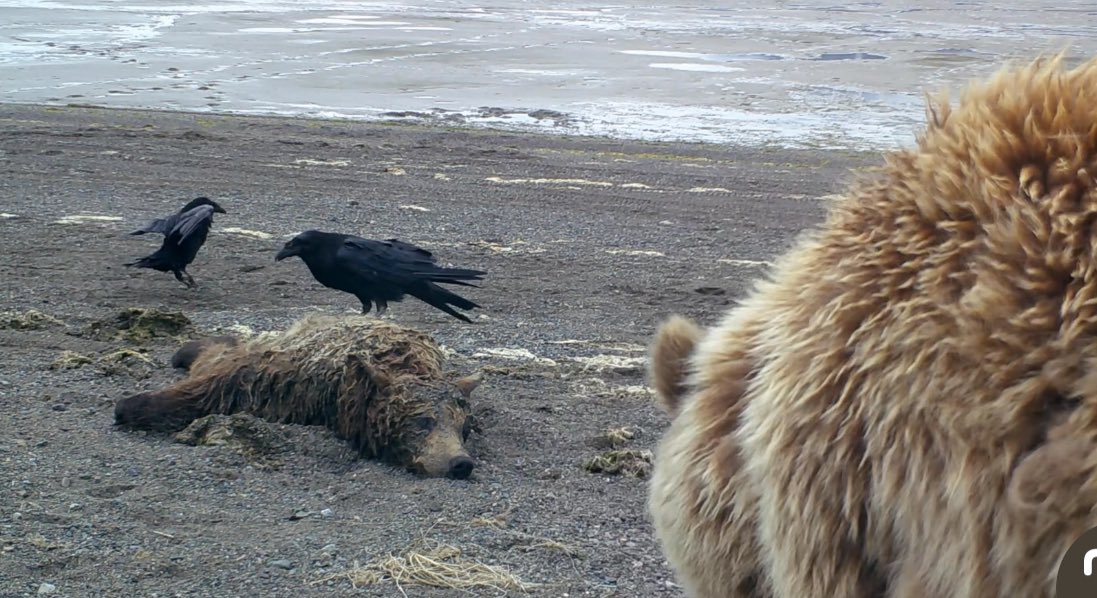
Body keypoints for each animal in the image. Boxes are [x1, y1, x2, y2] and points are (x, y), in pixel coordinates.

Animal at [114, 313, 483, 479]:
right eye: (423, 421)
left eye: (463, 428)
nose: (460, 463)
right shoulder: (281, 377)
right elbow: (205, 390)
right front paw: (130, 405)